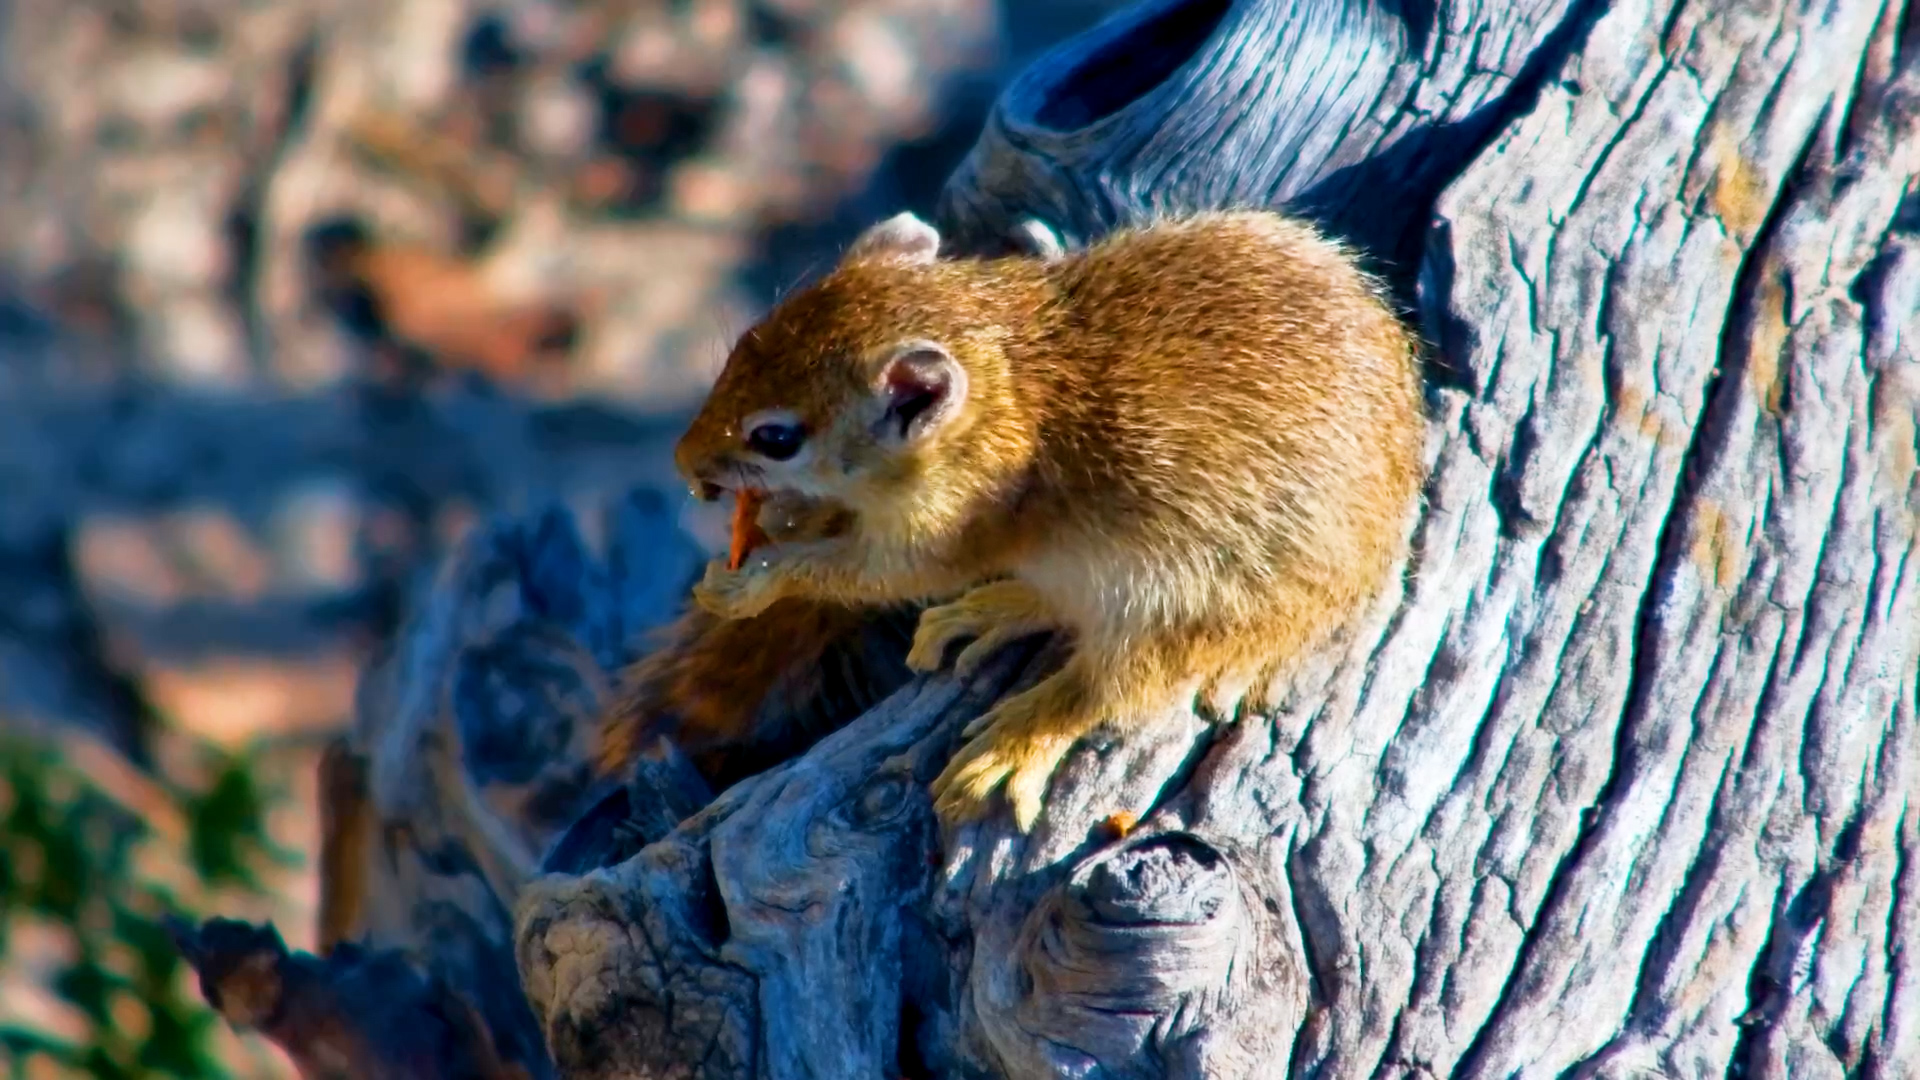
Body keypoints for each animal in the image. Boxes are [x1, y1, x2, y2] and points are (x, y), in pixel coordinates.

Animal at [655, 208, 1426, 830]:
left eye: (775, 438)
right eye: (743, 345)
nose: (683, 462)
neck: (1010, 387)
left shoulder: (951, 525)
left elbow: (867, 574)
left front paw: (754, 580)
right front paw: (782, 521)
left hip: (1176, 606)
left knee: (1107, 690)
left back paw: (1017, 739)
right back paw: (998, 608)